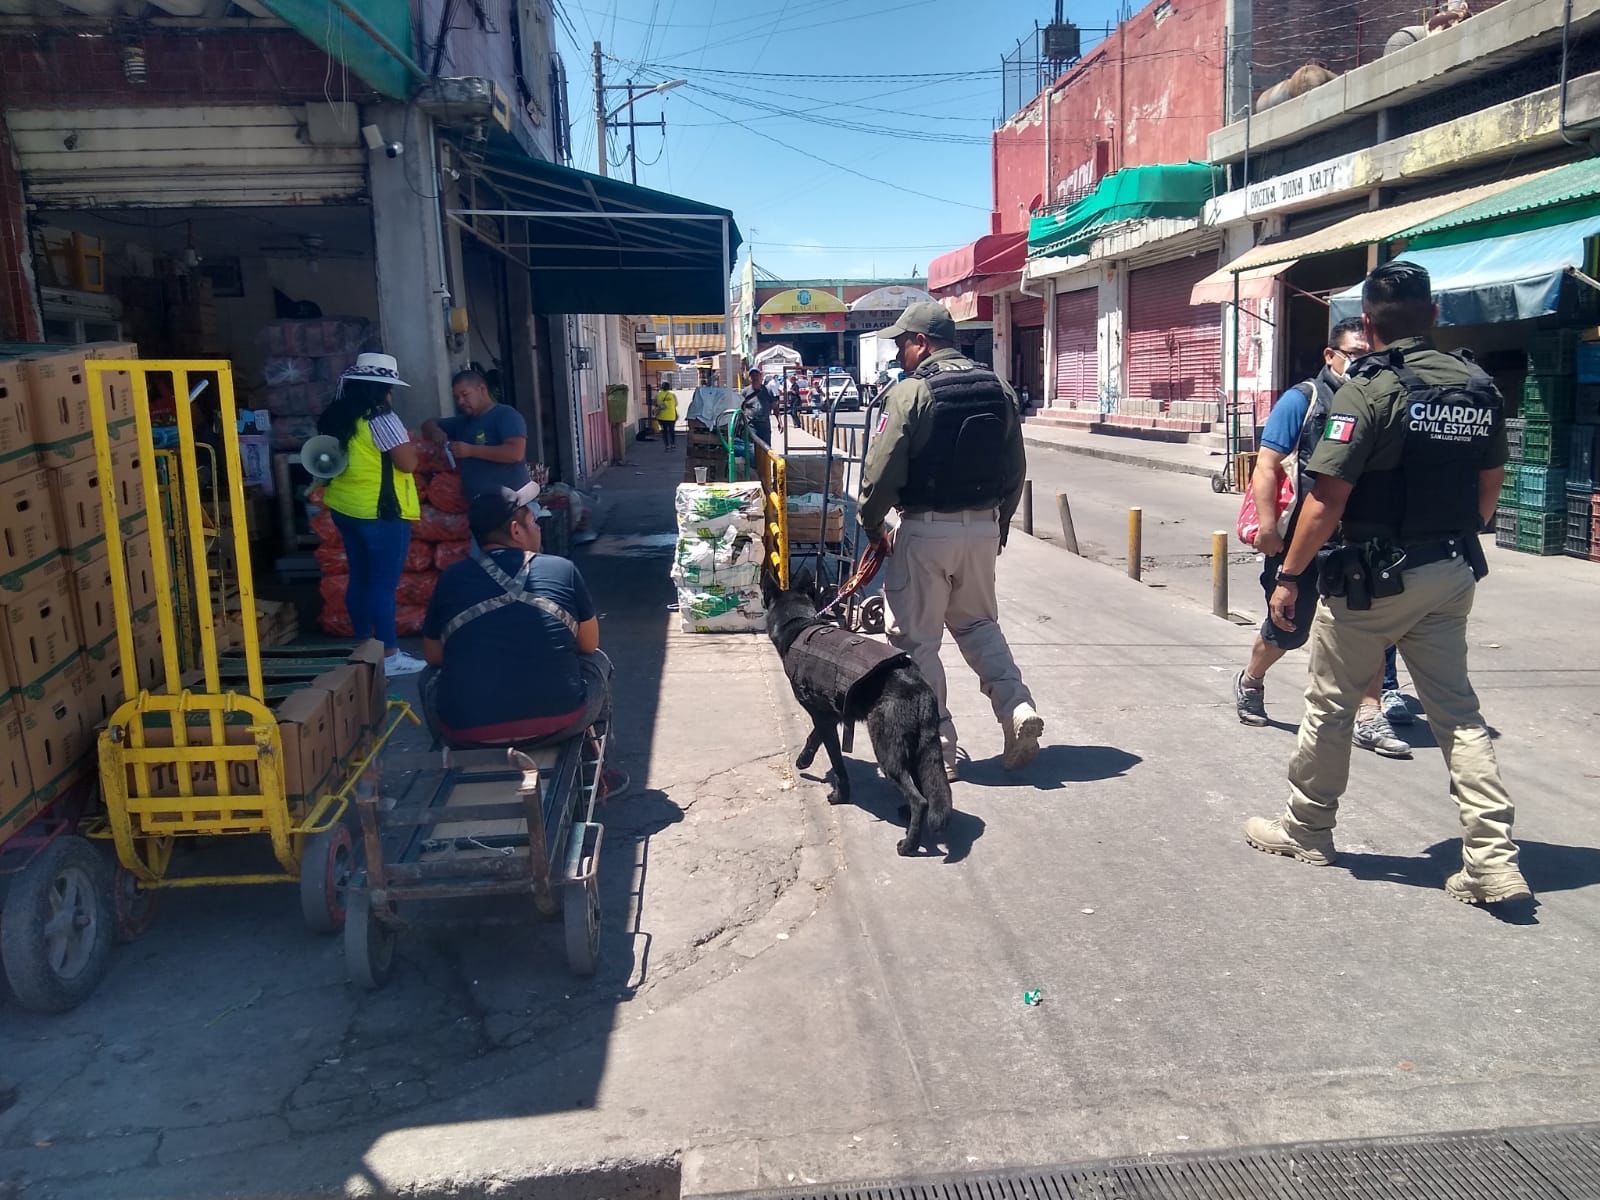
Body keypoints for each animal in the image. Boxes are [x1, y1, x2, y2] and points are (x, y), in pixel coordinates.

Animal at [761, 579, 947, 857]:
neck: (799, 623)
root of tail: (918, 687)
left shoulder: (824, 718)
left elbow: (837, 763)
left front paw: (840, 795)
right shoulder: (829, 716)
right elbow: (813, 737)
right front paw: (804, 759)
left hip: (887, 751)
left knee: (921, 800)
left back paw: (909, 844)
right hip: (919, 748)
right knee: (921, 786)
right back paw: (907, 813)